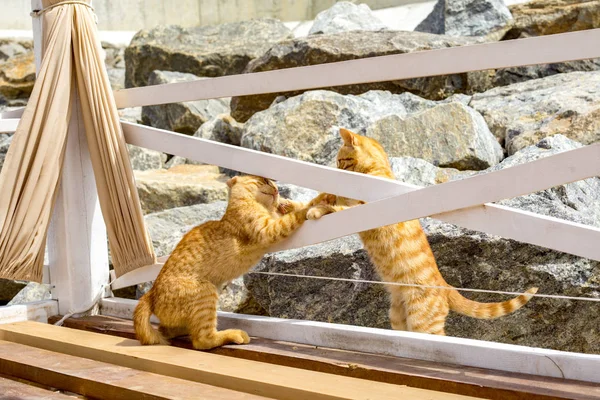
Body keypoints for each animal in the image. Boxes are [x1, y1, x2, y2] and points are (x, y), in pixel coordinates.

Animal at [132, 173, 332, 348]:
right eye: (264, 180)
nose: (276, 189)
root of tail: (150, 294)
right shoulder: (267, 229)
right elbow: (293, 216)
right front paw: (314, 206)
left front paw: (295, 204)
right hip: (206, 292)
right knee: (202, 340)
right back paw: (235, 335)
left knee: (167, 329)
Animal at [316, 130, 536, 336]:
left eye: (340, 160)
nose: (336, 170)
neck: (376, 172)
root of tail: (446, 286)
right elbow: (330, 201)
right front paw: (319, 203)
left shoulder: (367, 207)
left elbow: (339, 207)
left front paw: (318, 208)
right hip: (397, 317)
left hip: (422, 322)